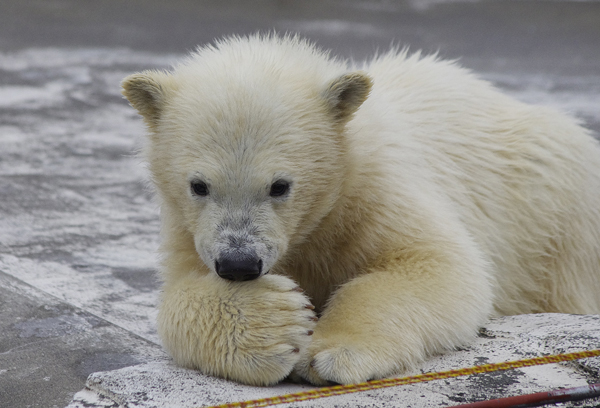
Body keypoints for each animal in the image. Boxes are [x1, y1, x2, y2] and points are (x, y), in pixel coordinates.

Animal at [120, 34, 600, 386]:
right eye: (198, 185)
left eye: (280, 186)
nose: (238, 263)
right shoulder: (186, 226)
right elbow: (181, 293)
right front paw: (275, 325)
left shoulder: (374, 191)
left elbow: (438, 265)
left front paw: (330, 354)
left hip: (552, 213)